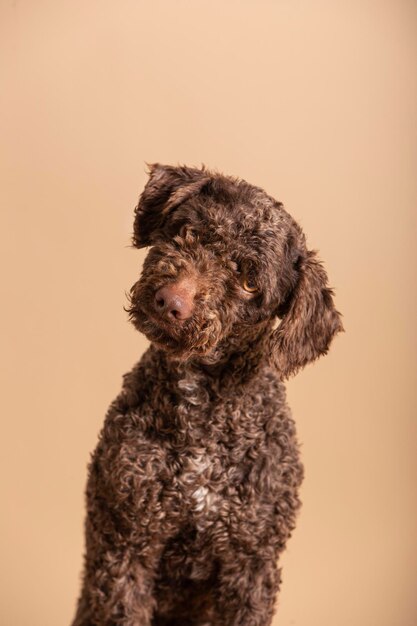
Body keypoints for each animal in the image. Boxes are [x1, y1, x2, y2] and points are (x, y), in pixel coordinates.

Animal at [70, 165, 342, 624]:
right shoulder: (127, 544)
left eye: (249, 282)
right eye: (188, 232)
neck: (202, 415)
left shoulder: (250, 565)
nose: (171, 301)